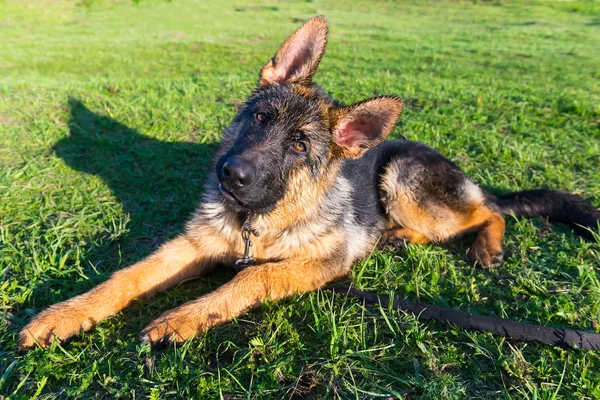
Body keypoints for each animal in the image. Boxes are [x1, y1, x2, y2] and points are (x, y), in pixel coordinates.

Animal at [19, 16, 600, 346]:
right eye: (259, 118)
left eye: (299, 146)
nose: (230, 174)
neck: (257, 223)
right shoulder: (192, 246)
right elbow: (127, 276)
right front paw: (65, 315)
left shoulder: (318, 264)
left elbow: (248, 279)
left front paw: (182, 317)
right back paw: (395, 239)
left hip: (402, 177)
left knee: (490, 210)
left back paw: (485, 246)